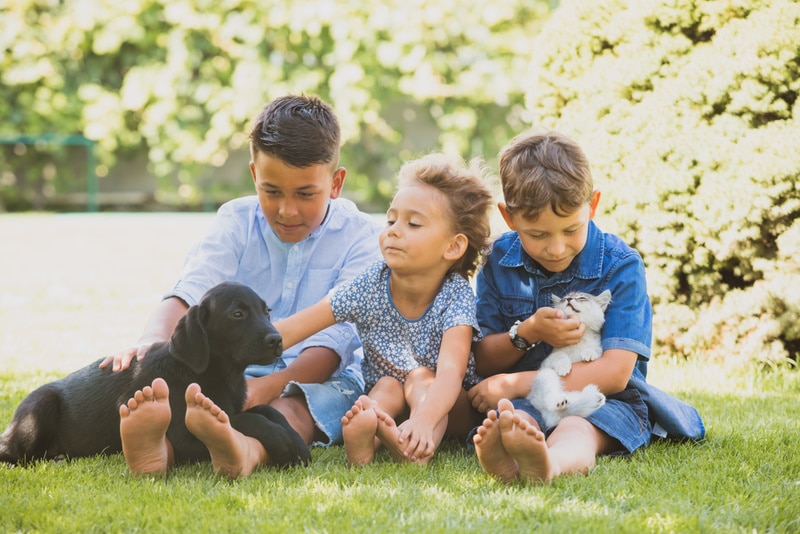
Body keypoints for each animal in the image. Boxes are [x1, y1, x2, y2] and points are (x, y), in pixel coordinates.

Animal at [0, 282, 310, 472]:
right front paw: (283, 443)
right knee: (11, 453)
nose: (277, 340)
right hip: (41, 405)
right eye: (237, 314)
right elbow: (245, 419)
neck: (219, 372)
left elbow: (266, 410)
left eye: (266, 311)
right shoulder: (186, 435)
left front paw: (295, 440)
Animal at [528, 292, 608, 430]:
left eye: (581, 298)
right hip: (546, 375)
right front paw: (563, 367)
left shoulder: (598, 349)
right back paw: (559, 401)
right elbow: (561, 355)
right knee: (551, 398)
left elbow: (595, 350)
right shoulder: (548, 360)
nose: (569, 299)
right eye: (565, 299)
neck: (579, 340)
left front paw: (588, 353)